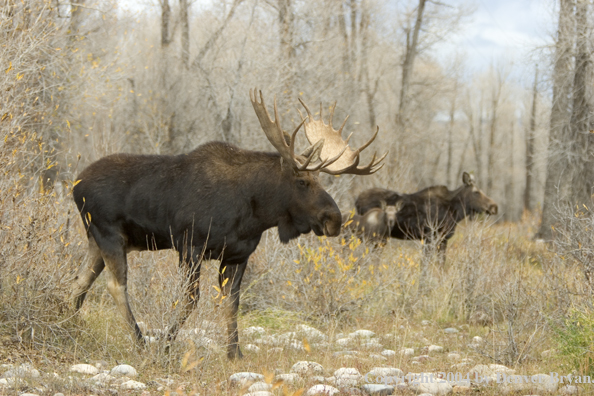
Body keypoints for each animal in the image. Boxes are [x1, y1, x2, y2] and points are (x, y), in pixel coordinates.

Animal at [70, 89, 384, 358]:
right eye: (302, 181)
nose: (334, 219)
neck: (254, 212)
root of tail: (75, 185)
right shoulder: (190, 246)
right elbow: (189, 300)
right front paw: (166, 345)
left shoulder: (238, 254)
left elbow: (232, 304)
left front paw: (235, 353)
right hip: (110, 234)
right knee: (115, 286)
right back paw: (138, 342)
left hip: (96, 240)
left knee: (80, 281)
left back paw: (71, 323)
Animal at [354, 172, 498, 260]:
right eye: (476, 192)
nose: (494, 207)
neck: (456, 212)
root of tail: (356, 201)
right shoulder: (431, 237)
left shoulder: (443, 239)